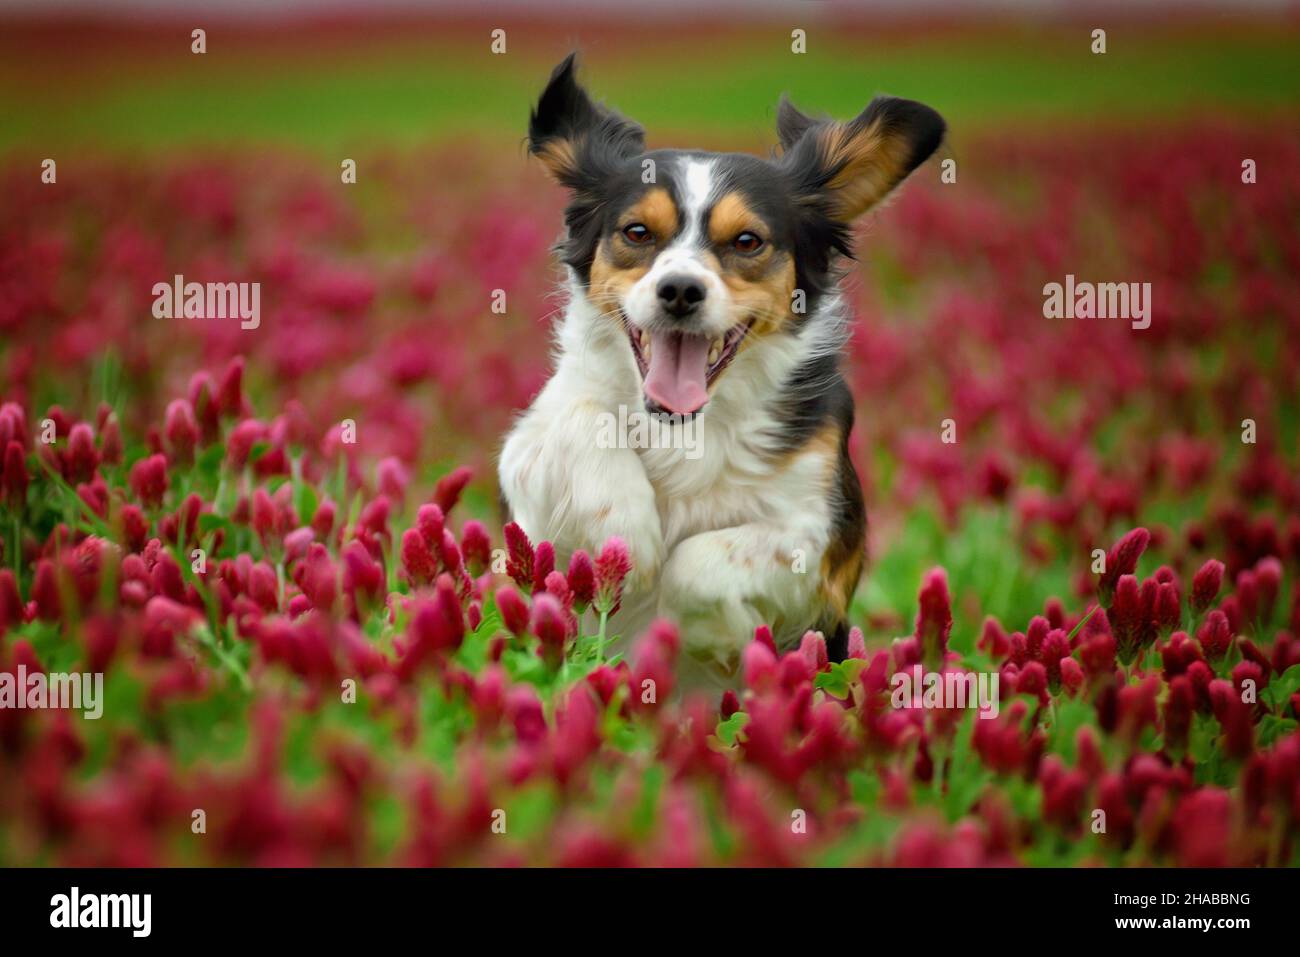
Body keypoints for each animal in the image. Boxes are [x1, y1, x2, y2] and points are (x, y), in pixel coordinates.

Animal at [499, 52, 946, 686]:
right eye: (638, 232)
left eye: (747, 241)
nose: (681, 290)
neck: (686, 427)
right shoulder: (526, 471)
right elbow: (578, 417)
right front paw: (625, 535)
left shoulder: (828, 534)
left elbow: (698, 561)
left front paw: (720, 639)